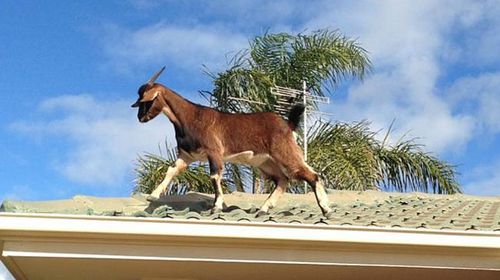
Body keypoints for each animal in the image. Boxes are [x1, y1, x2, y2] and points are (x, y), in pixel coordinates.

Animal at [133, 66, 332, 218]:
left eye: (148, 100)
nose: (140, 118)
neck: (191, 117)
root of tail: (287, 124)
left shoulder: (213, 151)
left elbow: (214, 176)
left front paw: (216, 206)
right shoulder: (187, 155)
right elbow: (172, 170)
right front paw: (152, 196)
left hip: (284, 152)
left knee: (311, 175)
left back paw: (326, 210)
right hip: (266, 161)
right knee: (283, 180)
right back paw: (263, 209)